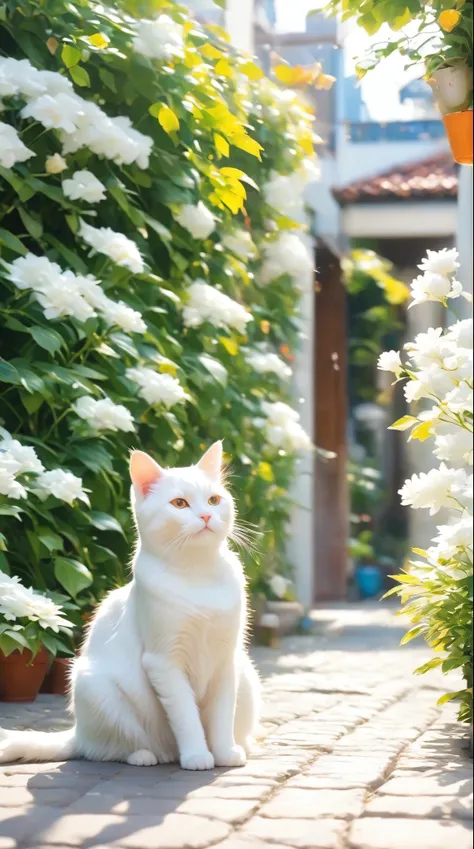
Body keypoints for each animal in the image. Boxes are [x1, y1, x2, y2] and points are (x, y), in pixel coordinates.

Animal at [0, 444, 260, 768]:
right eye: (179, 503)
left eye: (214, 499)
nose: (205, 515)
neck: (197, 575)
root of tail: (77, 733)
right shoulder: (163, 662)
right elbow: (186, 716)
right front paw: (198, 755)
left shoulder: (226, 659)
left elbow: (223, 714)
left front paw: (224, 752)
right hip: (93, 686)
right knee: (107, 749)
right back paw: (145, 755)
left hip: (247, 676)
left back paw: (242, 745)